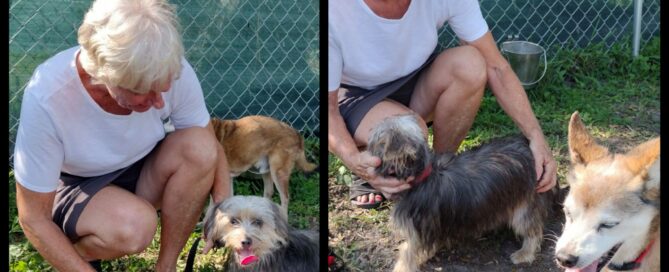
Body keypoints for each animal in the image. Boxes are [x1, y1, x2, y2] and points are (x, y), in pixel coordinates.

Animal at [366, 115, 552, 272]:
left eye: (376, 141)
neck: (422, 177)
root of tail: (528, 147)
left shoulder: (418, 230)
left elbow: (408, 252)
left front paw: (402, 267)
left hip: (525, 204)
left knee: (533, 230)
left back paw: (525, 253)